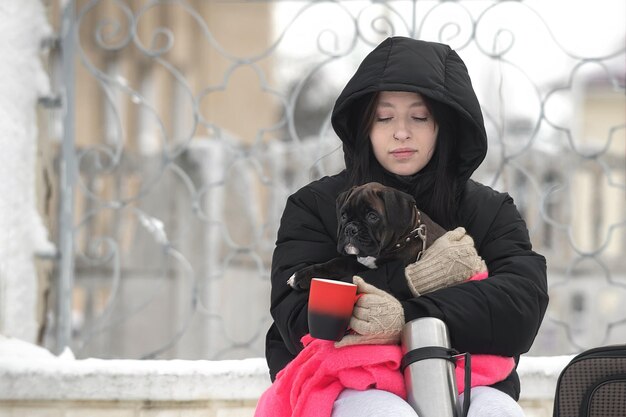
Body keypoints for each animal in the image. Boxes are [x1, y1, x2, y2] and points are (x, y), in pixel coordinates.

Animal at [288, 182, 444, 290]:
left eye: (372, 216)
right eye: (343, 216)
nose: (350, 229)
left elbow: (350, 265)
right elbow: (337, 262)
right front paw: (303, 275)